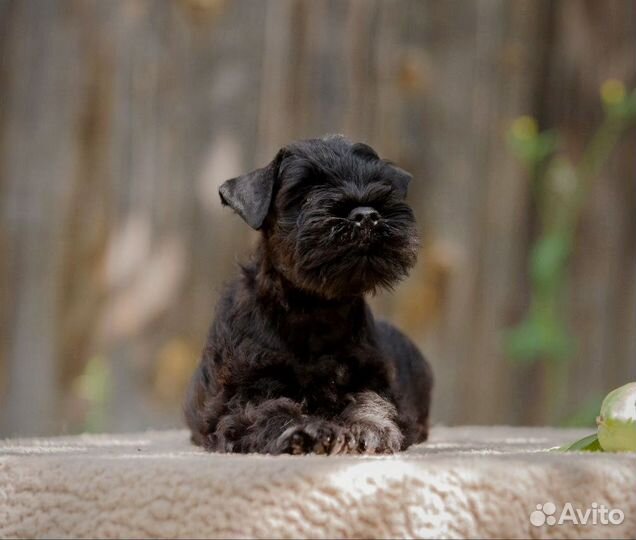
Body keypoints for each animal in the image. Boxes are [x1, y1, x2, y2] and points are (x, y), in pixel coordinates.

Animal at [184, 136, 432, 456]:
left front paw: (369, 427)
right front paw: (305, 430)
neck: (314, 309)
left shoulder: (369, 376)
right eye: (304, 193)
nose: (366, 215)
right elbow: (271, 410)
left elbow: (370, 401)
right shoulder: (243, 394)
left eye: (381, 184)